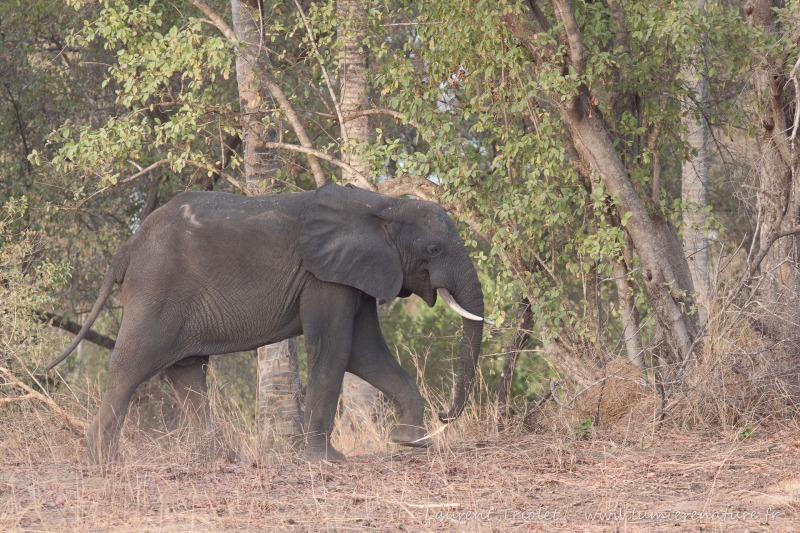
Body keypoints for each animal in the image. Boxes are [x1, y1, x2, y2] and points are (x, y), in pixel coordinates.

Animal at [48, 183, 485, 463]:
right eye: (433, 249)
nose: (445, 416)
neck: (385, 206)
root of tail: (128, 247)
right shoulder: (323, 277)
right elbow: (336, 350)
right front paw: (325, 461)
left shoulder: (355, 275)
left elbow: (366, 353)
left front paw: (410, 442)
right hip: (155, 288)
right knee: (132, 365)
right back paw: (102, 463)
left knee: (186, 372)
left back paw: (220, 459)